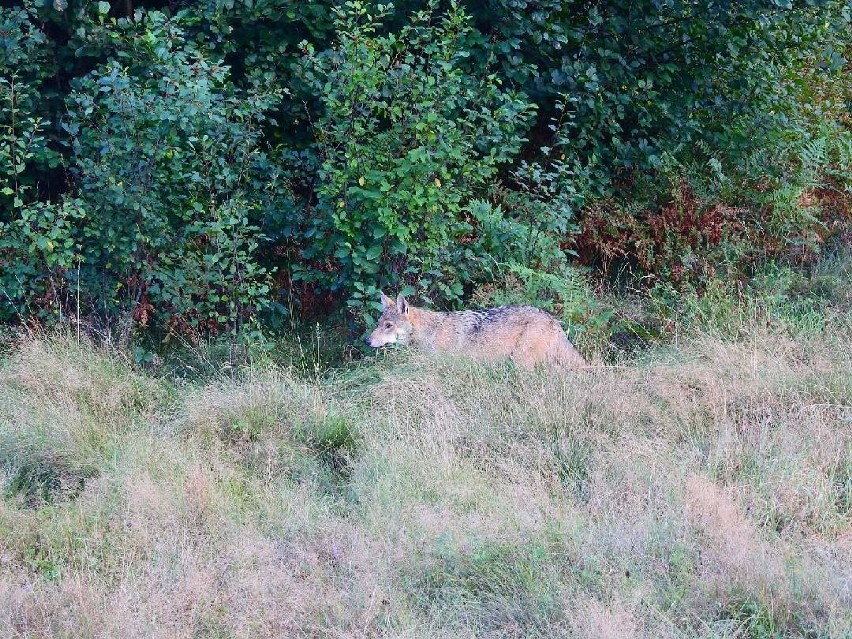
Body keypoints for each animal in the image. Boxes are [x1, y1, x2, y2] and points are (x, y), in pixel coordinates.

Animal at [366, 292, 584, 368]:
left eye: (388, 325)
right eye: (378, 323)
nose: (366, 341)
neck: (430, 332)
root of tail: (552, 319)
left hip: (521, 363)